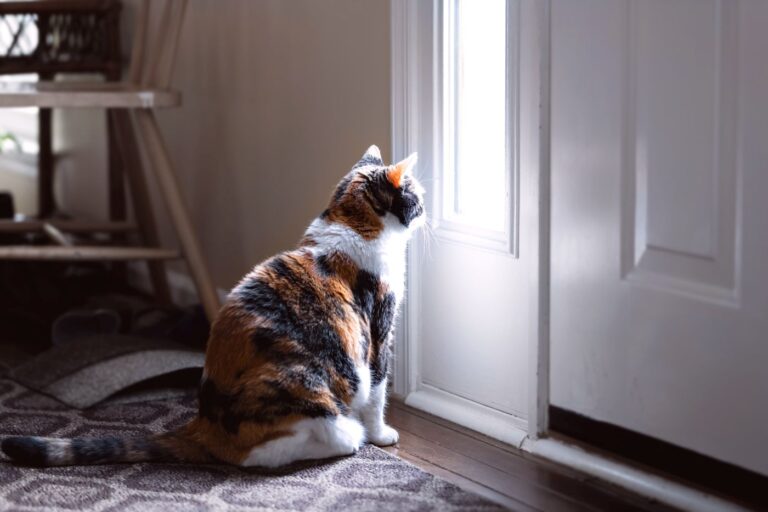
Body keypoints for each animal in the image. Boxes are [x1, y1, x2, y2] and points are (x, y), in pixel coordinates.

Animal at [0, 144, 424, 468]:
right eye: (417, 195)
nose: (426, 210)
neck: (352, 222)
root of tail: (204, 424)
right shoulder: (378, 333)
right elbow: (378, 391)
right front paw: (381, 434)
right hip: (310, 389)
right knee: (261, 454)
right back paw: (349, 438)